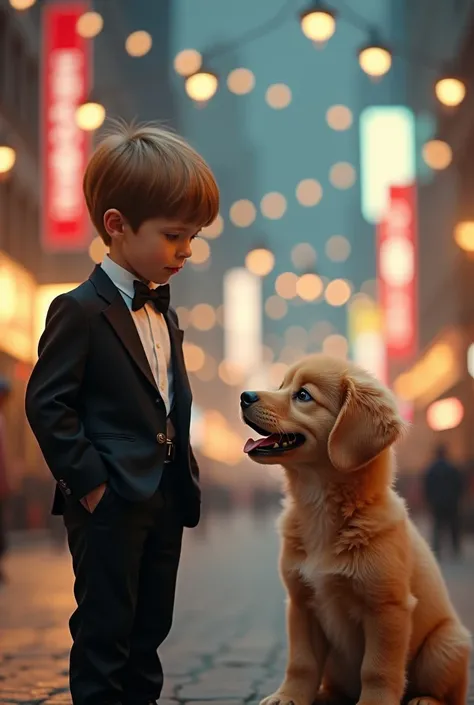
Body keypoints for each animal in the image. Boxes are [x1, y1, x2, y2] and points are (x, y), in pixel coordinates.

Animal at [241, 354, 470, 704]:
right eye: (281, 386)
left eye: (303, 395)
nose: (244, 396)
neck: (321, 508)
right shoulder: (300, 602)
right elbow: (302, 663)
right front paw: (289, 696)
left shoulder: (386, 608)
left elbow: (377, 668)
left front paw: (374, 702)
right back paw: (325, 696)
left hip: (446, 645)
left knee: (448, 692)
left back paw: (424, 699)